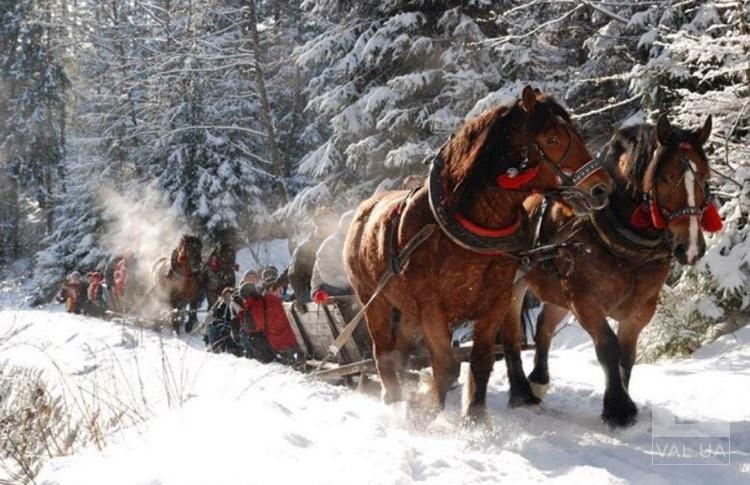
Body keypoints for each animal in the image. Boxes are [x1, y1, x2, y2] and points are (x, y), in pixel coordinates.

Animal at [346, 85, 616, 418]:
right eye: (551, 138)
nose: (602, 188)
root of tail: (362, 210)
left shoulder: (495, 301)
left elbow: (481, 362)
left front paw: (474, 419)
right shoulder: (432, 307)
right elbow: (446, 366)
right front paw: (427, 415)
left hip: (407, 310)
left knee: (401, 349)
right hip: (373, 300)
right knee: (382, 350)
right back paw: (394, 398)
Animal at [512, 113, 724, 424]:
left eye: (706, 178)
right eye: (664, 177)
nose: (692, 247)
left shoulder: (641, 308)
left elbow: (627, 356)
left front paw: (622, 398)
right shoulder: (586, 301)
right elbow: (608, 348)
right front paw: (618, 408)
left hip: (557, 292)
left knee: (544, 326)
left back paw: (538, 380)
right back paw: (521, 391)